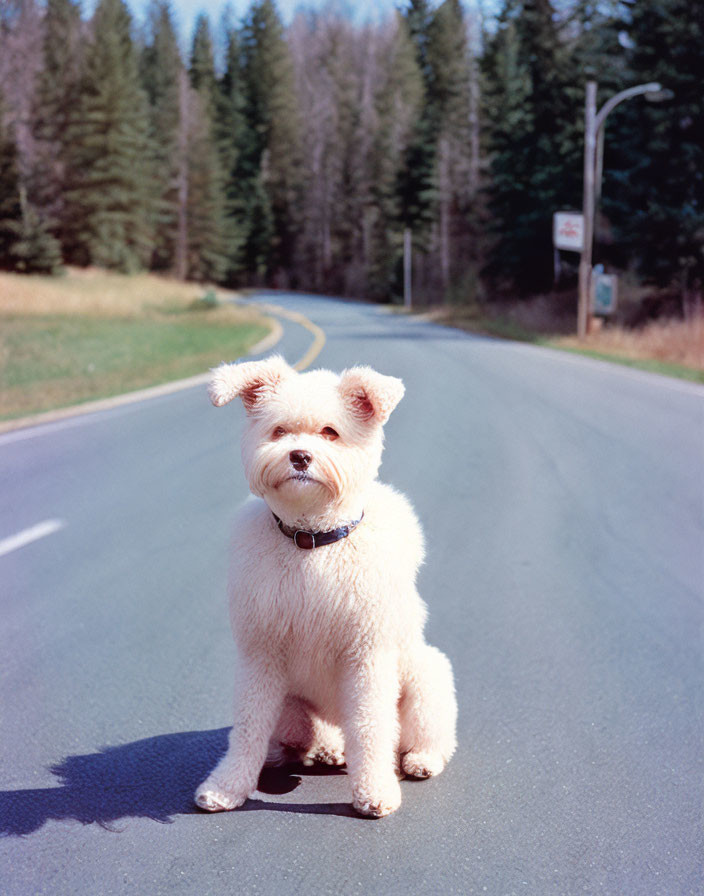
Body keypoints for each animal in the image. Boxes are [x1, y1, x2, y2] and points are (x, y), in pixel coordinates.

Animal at [195, 354, 456, 816]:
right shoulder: (261, 654)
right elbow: (246, 728)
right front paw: (226, 787)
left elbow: (372, 728)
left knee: (425, 736)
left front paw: (375, 792)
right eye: (279, 430)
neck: (312, 543)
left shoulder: (367, 656)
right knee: (300, 740)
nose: (299, 456)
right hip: (292, 710)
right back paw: (320, 751)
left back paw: (419, 760)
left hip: (427, 675)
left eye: (331, 432)